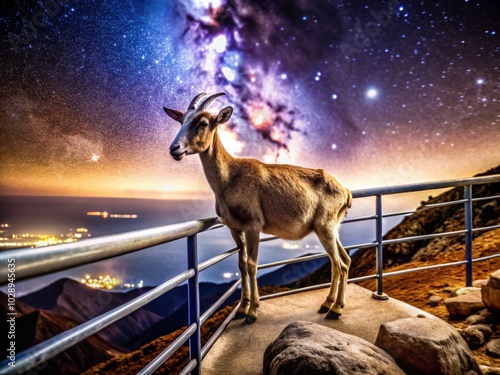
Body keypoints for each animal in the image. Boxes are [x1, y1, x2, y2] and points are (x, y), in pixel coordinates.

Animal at [164, 92, 352, 324]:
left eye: (203, 123)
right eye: (181, 121)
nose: (175, 148)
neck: (230, 178)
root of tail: (346, 192)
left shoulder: (253, 225)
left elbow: (252, 264)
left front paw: (252, 312)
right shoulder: (235, 228)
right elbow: (242, 264)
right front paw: (242, 308)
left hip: (324, 226)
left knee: (339, 264)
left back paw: (335, 309)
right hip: (331, 228)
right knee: (343, 260)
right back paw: (328, 303)